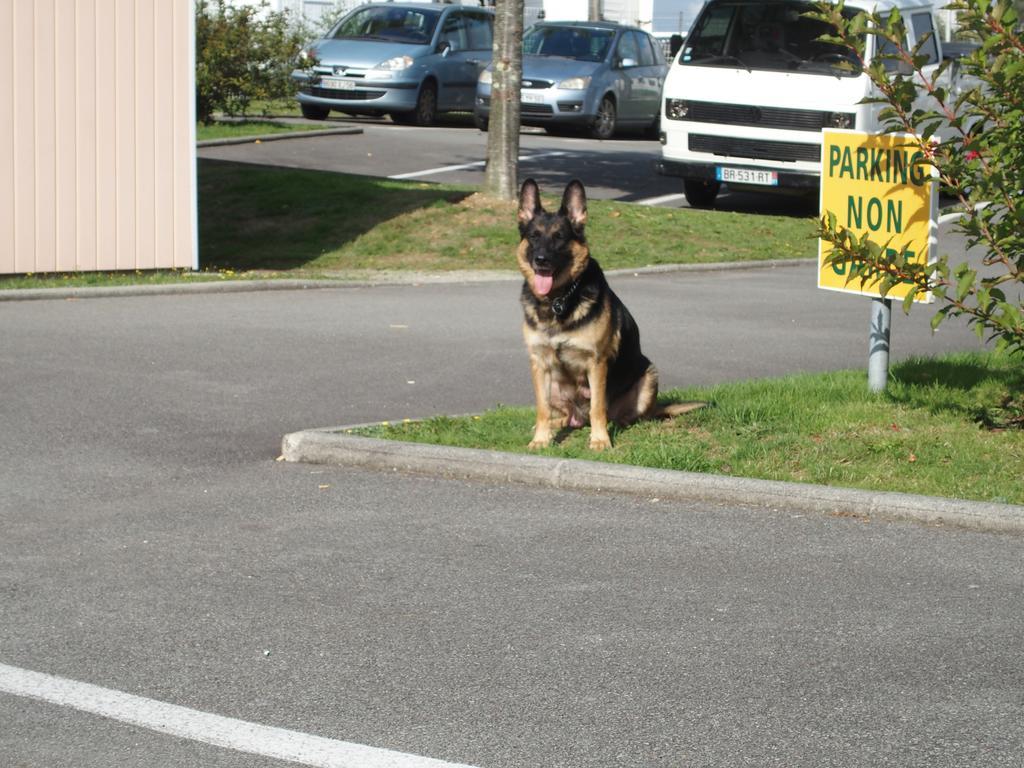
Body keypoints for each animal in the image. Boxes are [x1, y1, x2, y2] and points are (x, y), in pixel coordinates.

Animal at [516, 180, 700, 450]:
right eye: (534, 236)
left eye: (559, 237)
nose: (541, 260)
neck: (559, 300)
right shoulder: (539, 363)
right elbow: (542, 409)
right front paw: (540, 439)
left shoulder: (597, 363)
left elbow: (597, 408)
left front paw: (600, 440)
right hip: (555, 387)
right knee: (563, 415)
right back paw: (557, 424)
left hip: (648, 376)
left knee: (622, 415)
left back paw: (619, 423)